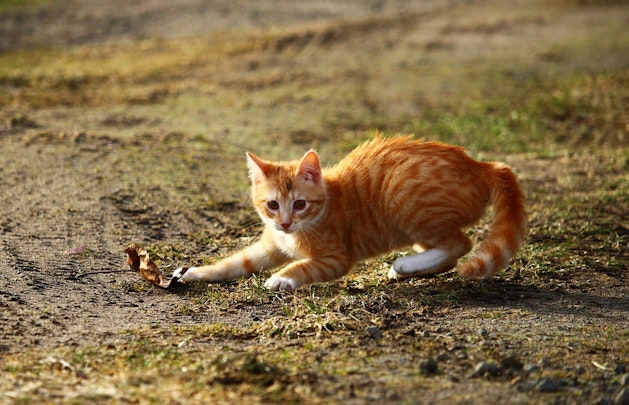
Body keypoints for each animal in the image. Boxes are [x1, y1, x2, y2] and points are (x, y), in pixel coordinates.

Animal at [172, 135, 524, 290]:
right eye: (272, 205)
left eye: (299, 204)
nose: (285, 222)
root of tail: (480, 164)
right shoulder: (269, 247)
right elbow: (233, 263)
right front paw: (196, 272)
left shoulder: (336, 258)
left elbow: (302, 266)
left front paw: (281, 278)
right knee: (448, 251)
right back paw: (409, 268)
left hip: (405, 200)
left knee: (460, 244)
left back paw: (405, 264)